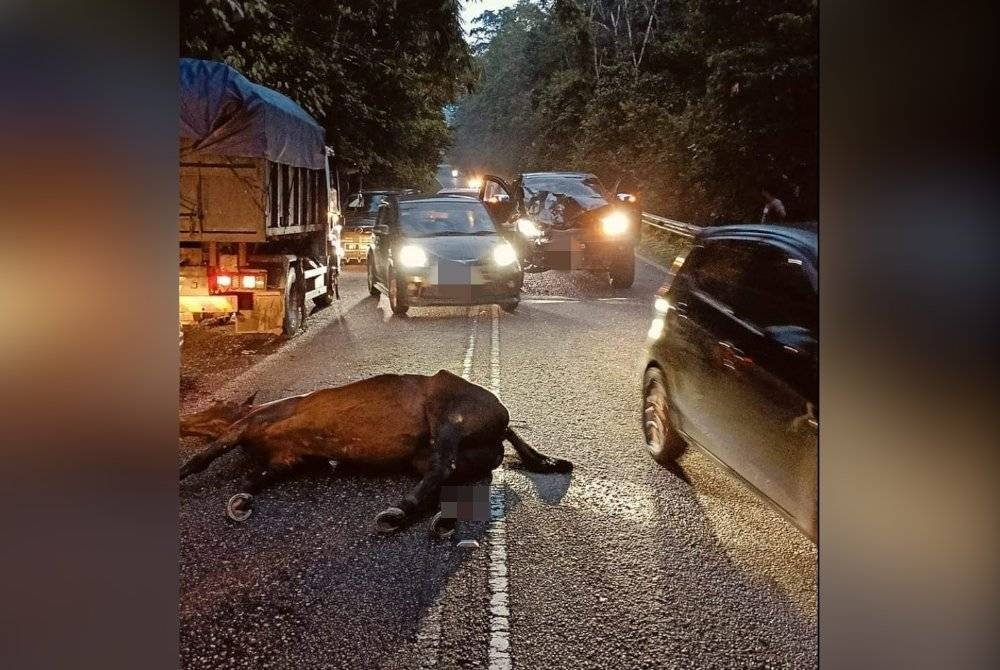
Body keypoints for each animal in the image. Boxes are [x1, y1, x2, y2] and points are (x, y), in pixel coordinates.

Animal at [180, 370, 572, 540]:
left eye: (217, 404)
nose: (183, 419)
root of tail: (503, 424)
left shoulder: (247, 424)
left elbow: (201, 459)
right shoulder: (285, 460)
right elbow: (255, 478)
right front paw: (240, 502)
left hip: (448, 413)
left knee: (443, 466)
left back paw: (399, 512)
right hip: (440, 455)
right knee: (448, 475)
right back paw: (441, 519)